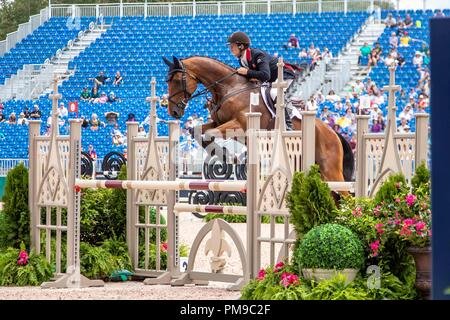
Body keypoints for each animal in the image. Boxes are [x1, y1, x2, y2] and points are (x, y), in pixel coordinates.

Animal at [163, 56, 354, 184]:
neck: (229, 88)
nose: (173, 111)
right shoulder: (218, 123)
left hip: (330, 170)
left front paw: (229, 157)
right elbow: (197, 132)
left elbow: (209, 133)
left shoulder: (240, 126)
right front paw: (223, 156)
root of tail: (333, 133)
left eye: (177, 80)